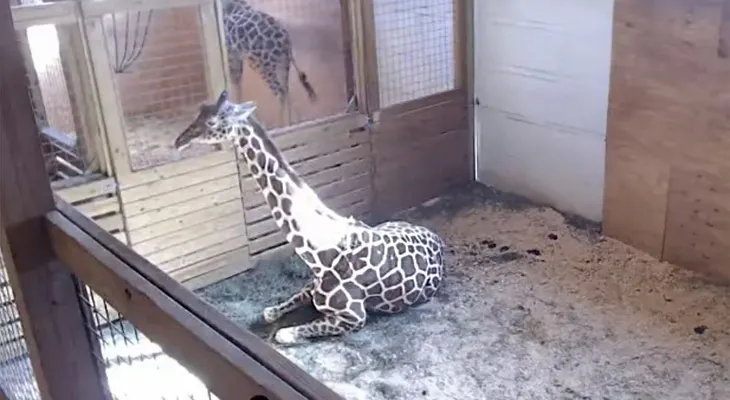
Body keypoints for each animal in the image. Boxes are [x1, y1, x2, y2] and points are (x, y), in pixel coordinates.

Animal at [173, 90, 446, 345]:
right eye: (200, 110)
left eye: (212, 121)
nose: (178, 141)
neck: (319, 253)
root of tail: (436, 238)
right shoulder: (311, 289)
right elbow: (270, 312)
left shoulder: (354, 317)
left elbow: (283, 333)